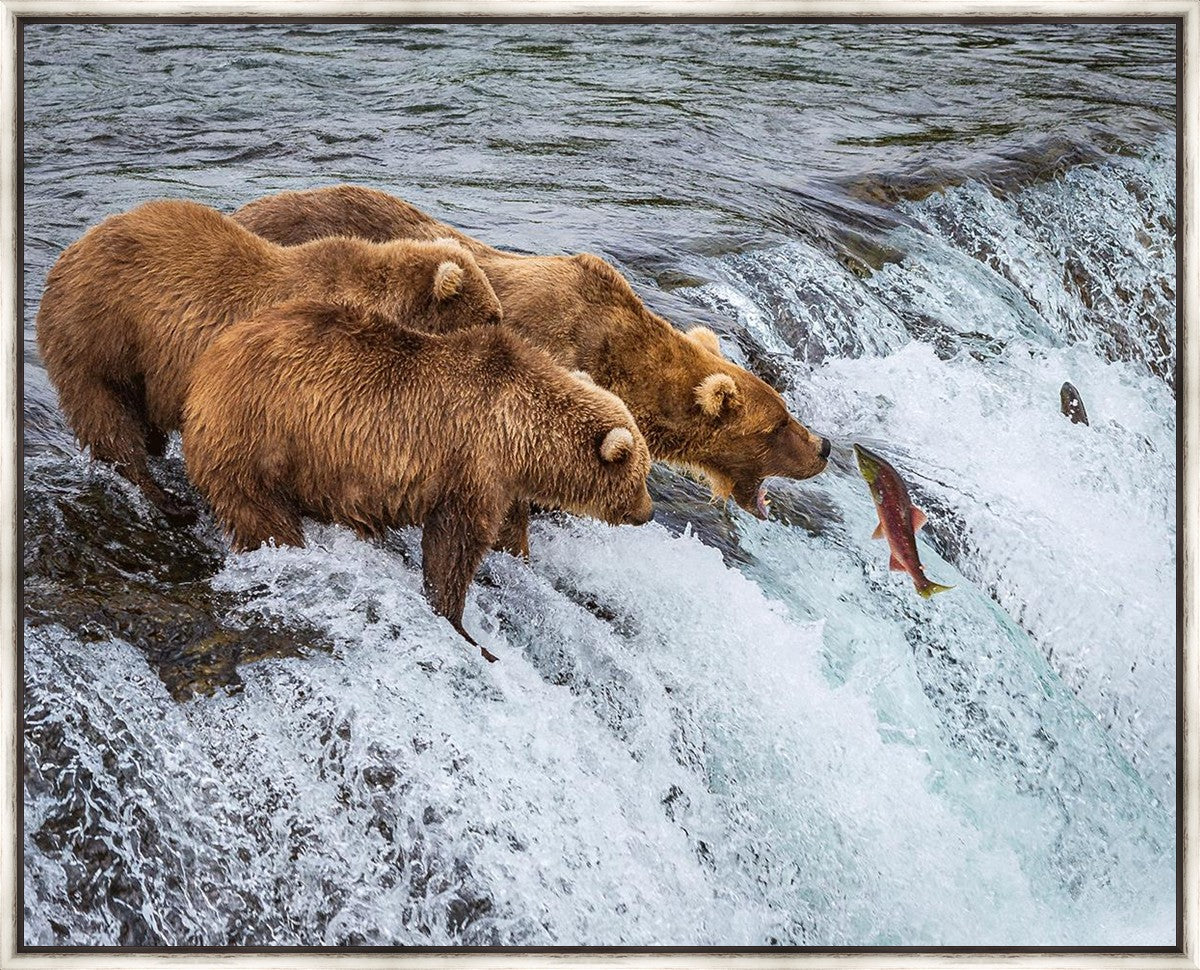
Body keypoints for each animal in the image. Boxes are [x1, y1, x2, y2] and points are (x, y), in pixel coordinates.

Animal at [36, 198, 503, 522]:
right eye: (492, 316)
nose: (505, 335)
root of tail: (70, 252)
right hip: (100, 334)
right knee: (107, 417)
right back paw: (167, 499)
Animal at [181, 299, 654, 660]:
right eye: (641, 475)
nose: (648, 513)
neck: (520, 434)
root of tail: (207, 365)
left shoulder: (501, 481)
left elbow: (506, 531)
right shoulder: (471, 463)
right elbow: (454, 546)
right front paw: (463, 627)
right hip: (260, 438)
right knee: (262, 514)